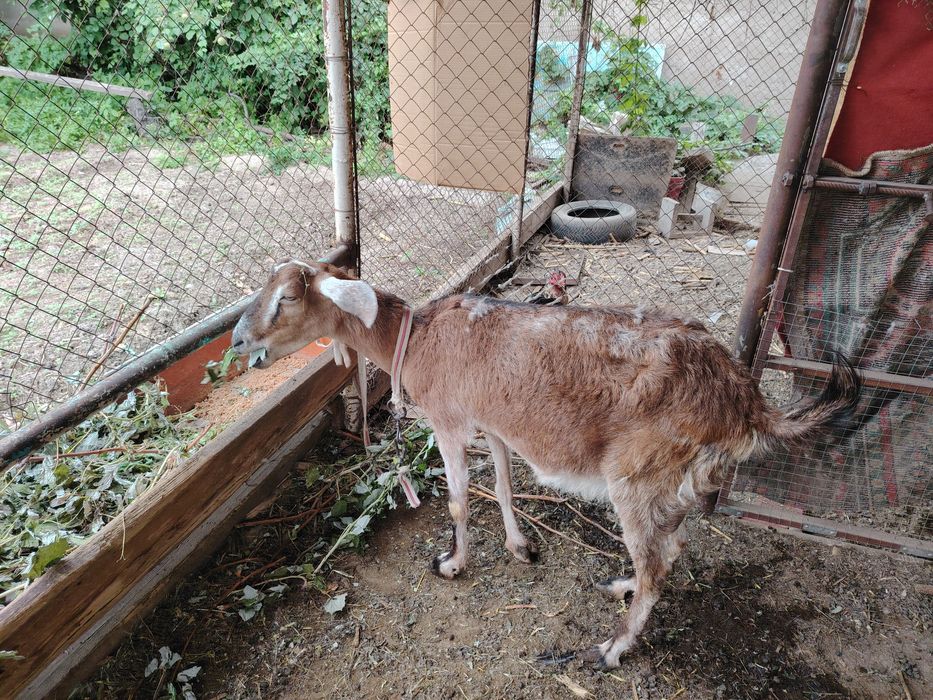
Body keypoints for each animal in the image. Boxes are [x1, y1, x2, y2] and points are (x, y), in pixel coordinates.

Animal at [231, 260, 861, 668]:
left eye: (287, 299)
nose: (239, 341)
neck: (419, 338)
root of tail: (747, 401)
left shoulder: (451, 421)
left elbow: (459, 501)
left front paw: (452, 564)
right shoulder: (494, 425)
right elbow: (504, 487)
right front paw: (519, 547)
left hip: (635, 472)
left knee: (658, 562)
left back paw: (612, 648)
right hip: (673, 478)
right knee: (672, 545)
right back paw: (622, 583)